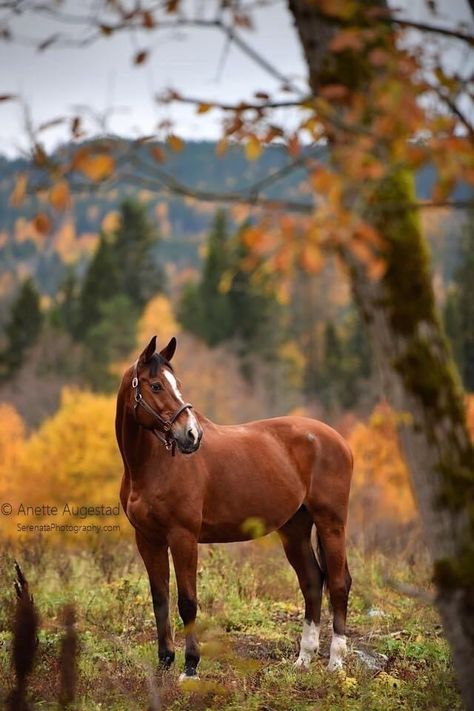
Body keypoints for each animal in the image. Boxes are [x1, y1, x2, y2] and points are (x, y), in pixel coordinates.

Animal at [115, 336, 352, 680]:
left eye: (178, 385)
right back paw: (304, 659)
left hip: (331, 523)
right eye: (156, 385)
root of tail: (337, 439)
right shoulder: (148, 539)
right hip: (294, 529)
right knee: (311, 581)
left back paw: (335, 663)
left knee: (337, 583)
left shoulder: (183, 536)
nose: (192, 435)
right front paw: (164, 664)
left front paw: (190, 668)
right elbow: (159, 599)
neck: (152, 466)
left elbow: (187, 601)